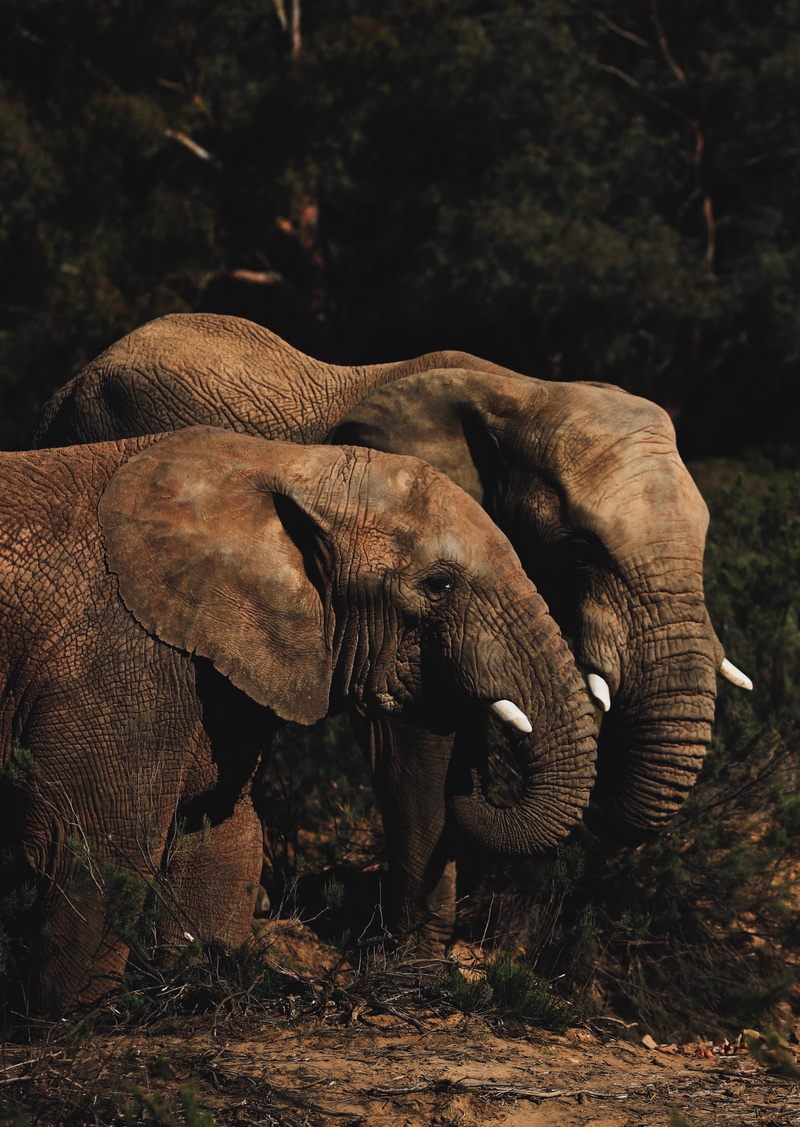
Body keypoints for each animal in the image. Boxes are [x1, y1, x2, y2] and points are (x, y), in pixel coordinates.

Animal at [0, 425, 596, 1015]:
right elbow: (98, 851)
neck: (285, 464)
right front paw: (69, 1020)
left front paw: (195, 988)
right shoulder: (114, 657)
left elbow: (223, 837)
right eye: (439, 585)